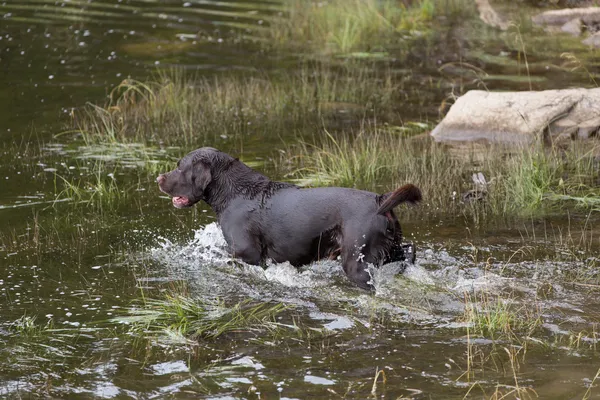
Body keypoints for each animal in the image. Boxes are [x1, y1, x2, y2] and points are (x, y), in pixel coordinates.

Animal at [158, 148, 422, 290]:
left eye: (180, 168)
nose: (158, 178)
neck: (235, 192)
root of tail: (380, 199)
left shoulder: (247, 253)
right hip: (386, 248)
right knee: (409, 250)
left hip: (356, 260)